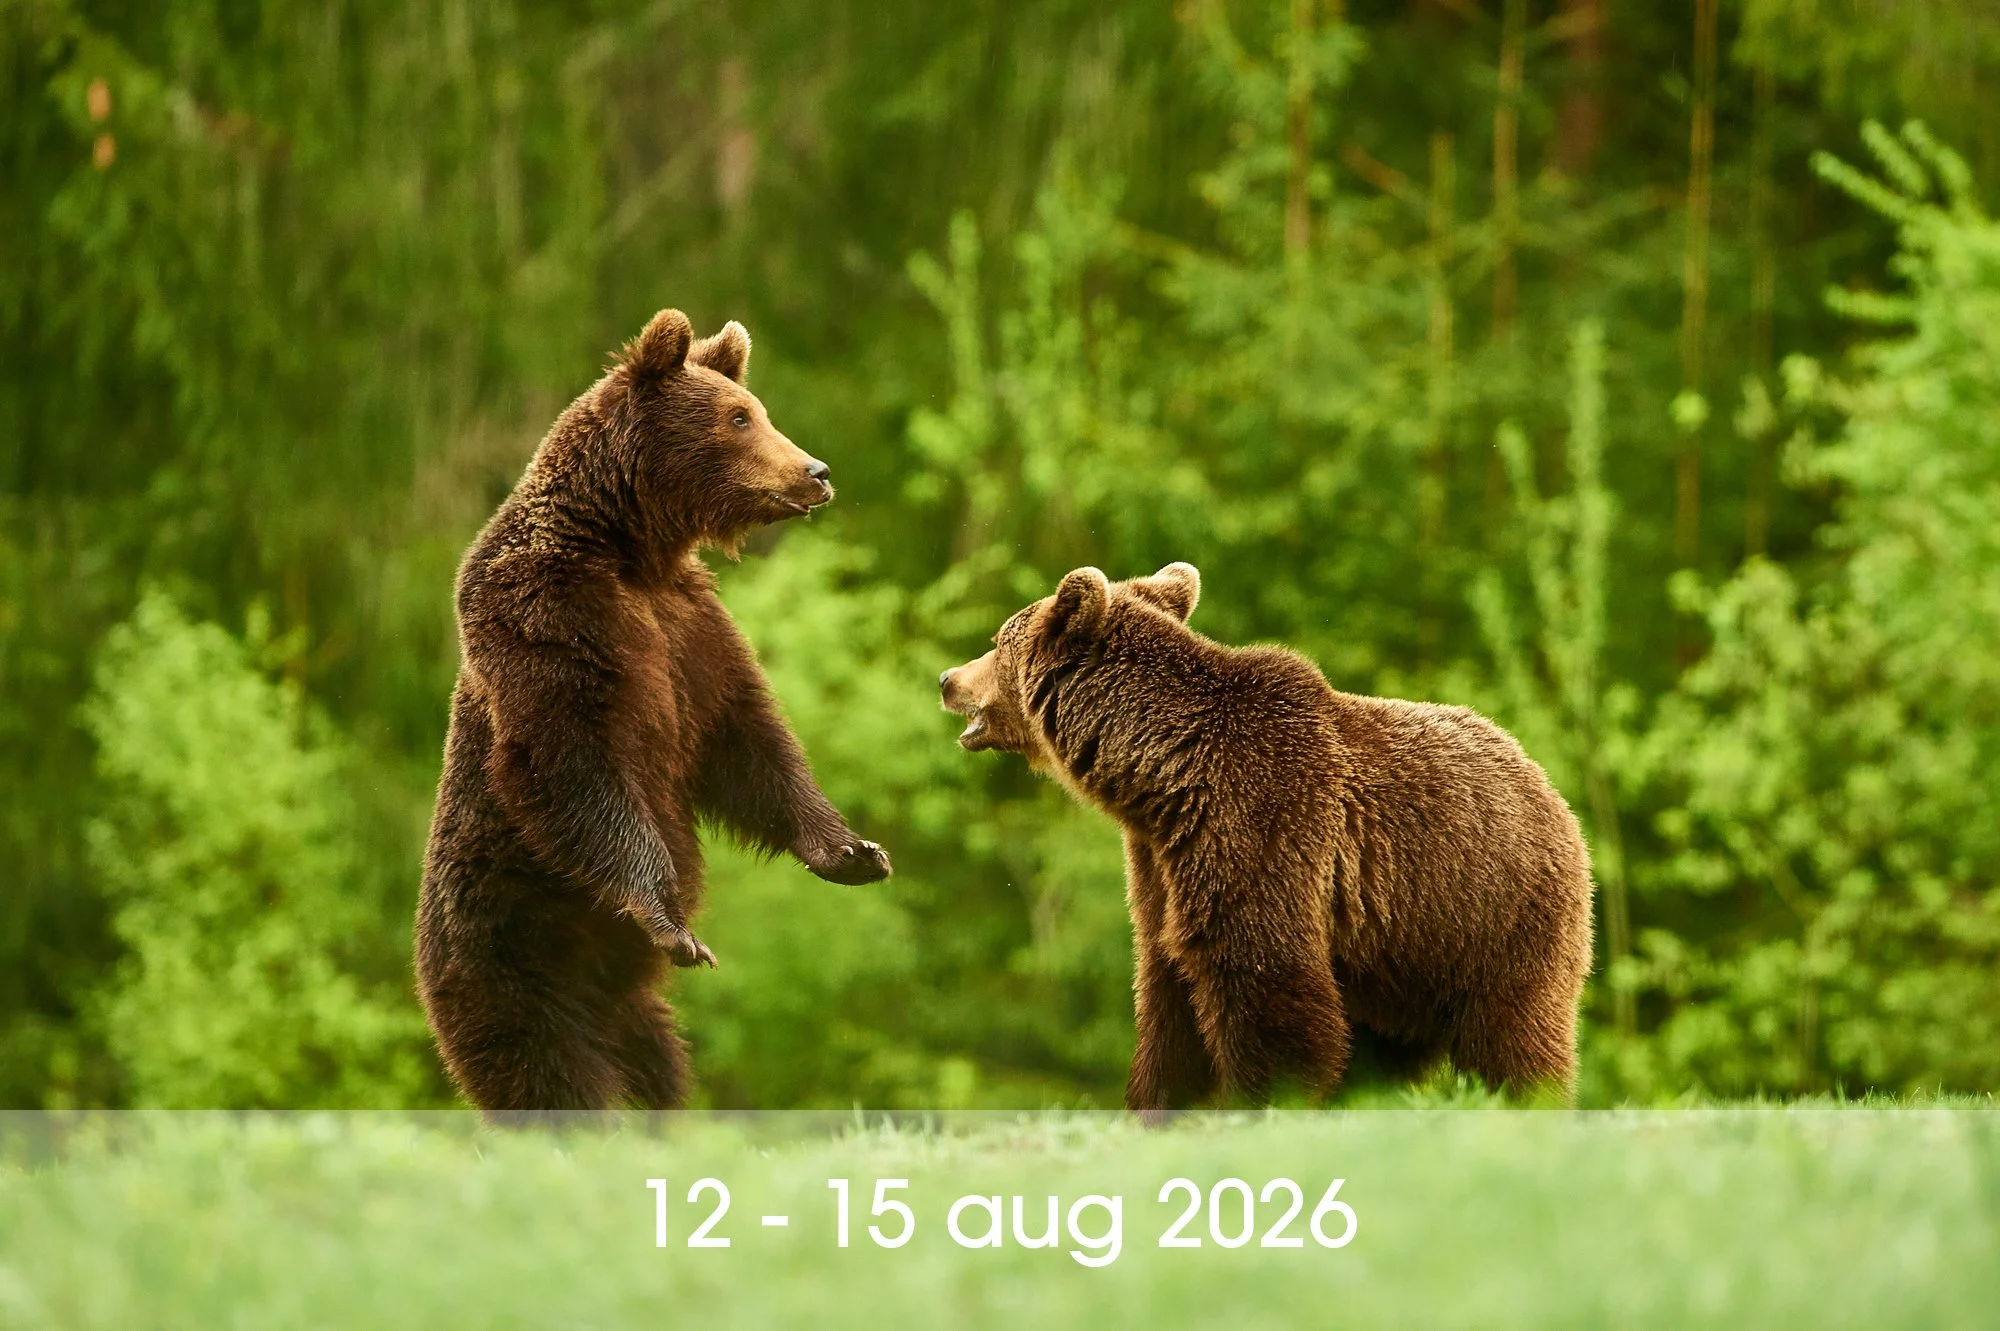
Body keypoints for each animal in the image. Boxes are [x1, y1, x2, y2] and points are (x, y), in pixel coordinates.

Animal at [417, 308, 891, 1114]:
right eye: (739, 417)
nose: (816, 472)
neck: (628, 549)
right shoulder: (550, 622)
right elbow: (575, 765)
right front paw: (672, 923)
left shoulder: (690, 633)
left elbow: (748, 742)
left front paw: (854, 852)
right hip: (514, 968)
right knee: (551, 1080)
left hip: (635, 1012)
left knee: (660, 1070)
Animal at [938, 562, 1593, 1108]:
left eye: (996, 641)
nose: (947, 678)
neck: (1163, 774)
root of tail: (1551, 792)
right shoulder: (1161, 862)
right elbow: (1169, 995)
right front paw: (1160, 1104)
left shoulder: (1260, 822)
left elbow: (1269, 986)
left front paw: (1264, 1102)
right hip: (1395, 962)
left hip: (1490, 918)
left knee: (1512, 1037)